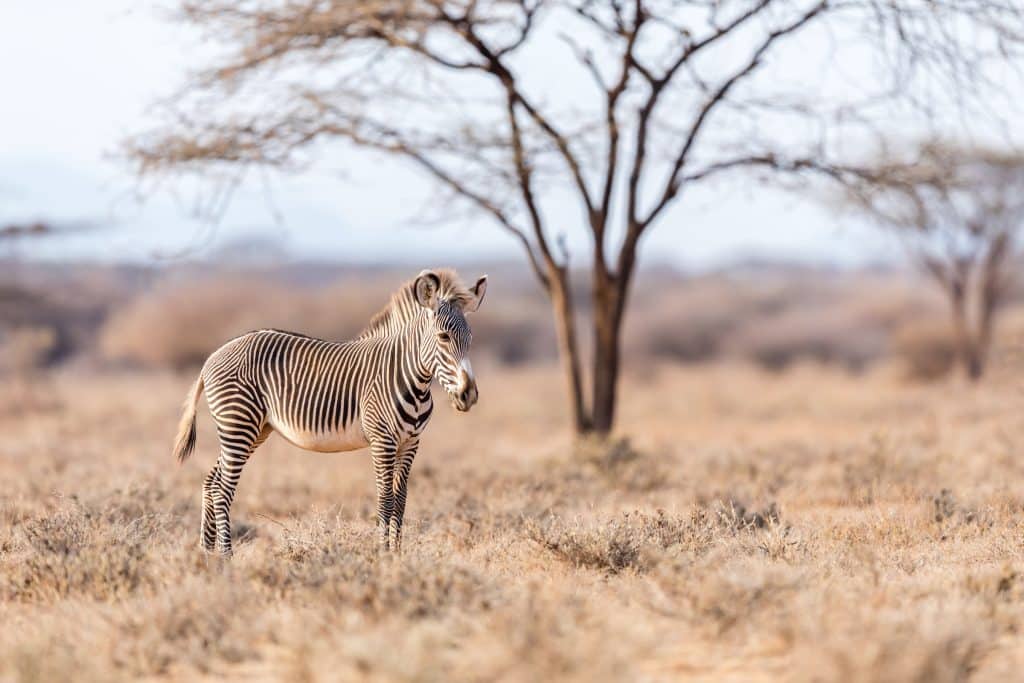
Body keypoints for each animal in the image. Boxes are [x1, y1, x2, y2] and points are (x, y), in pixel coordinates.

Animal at [169, 268, 485, 557]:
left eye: (470, 338)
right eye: (443, 337)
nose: (468, 395)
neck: (411, 379)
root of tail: (213, 356)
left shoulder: (410, 442)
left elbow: (401, 501)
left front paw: (397, 554)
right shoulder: (383, 441)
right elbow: (385, 500)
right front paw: (383, 555)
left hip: (254, 429)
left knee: (211, 481)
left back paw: (207, 553)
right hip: (238, 425)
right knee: (223, 488)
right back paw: (227, 555)